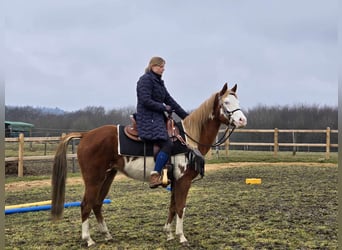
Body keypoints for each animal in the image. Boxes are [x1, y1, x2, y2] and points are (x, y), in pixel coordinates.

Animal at [50, 83, 247, 247]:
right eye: (226, 102)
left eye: (238, 100)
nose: (242, 120)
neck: (188, 139)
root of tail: (86, 135)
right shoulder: (184, 181)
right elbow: (181, 207)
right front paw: (181, 237)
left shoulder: (176, 181)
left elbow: (173, 206)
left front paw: (169, 234)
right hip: (93, 179)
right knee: (86, 204)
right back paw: (88, 239)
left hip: (107, 176)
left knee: (97, 204)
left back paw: (107, 235)